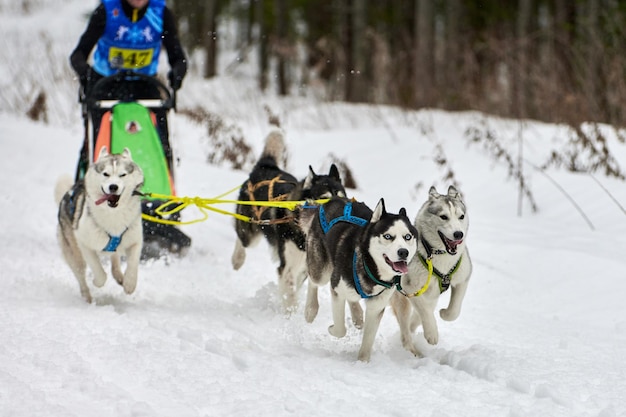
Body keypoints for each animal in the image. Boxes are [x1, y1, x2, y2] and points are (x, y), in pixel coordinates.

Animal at [55, 147, 144, 302]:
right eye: (105, 174)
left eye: (122, 174)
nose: (113, 187)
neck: (113, 214)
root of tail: (68, 192)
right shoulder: (84, 243)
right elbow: (99, 271)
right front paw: (97, 282)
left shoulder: (135, 241)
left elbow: (133, 264)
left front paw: (129, 284)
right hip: (74, 253)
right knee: (81, 276)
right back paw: (87, 298)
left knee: (115, 260)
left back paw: (119, 276)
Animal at [230, 130, 346, 312]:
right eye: (324, 198)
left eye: (343, 197)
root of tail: (266, 166)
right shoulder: (288, 266)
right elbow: (290, 292)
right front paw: (289, 314)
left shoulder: (305, 268)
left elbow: (294, 288)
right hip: (250, 231)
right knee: (241, 238)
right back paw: (237, 260)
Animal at [298, 197, 416, 360]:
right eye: (387, 236)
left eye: (407, 237)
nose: (403, 252)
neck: (370, 267)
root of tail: (333, 199)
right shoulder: (337, 289)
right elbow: (340, 329)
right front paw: (331, 329)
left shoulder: (376, 307)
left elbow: (367, 342)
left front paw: (362, 362)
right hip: (321, 270)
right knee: (313, 280)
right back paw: (311, 310)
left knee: (352, 298)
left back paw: (358, 316)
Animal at [388, 185, 470, 354]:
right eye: (443, 217)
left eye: (461, 216)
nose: (459, 234)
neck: (439, 254)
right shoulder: (409, 287)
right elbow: (424, 310)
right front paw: (431, 333)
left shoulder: (462, 279)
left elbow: (454, 311)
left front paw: (444, 314)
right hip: (402, 300)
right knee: (405, 331)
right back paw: (413, 350)